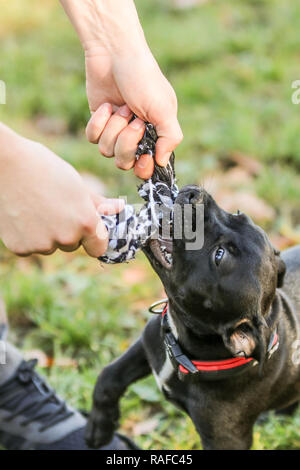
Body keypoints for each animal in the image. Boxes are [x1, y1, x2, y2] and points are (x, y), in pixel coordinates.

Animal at [85, 186, 300, 448]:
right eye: (240, 214)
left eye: (219, 256)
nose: (193, 194)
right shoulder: (149, 342)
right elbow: (110, 375)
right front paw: (99, 427)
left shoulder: (225, 439)